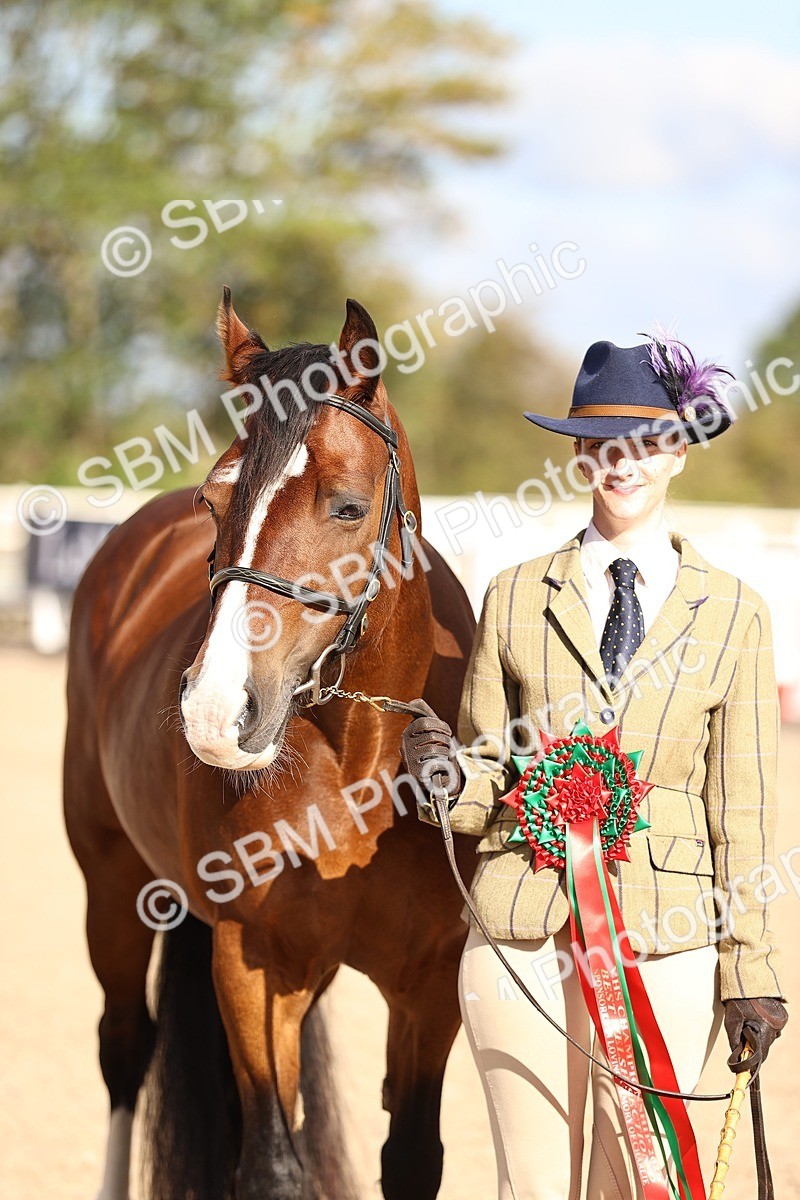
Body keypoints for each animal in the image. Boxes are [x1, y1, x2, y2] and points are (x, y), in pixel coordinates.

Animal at [63, 291, 477, 1200]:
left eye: (348, 505)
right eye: (214, 503)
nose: (216, 710)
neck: (361, 764)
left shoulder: (430, 981)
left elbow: (413, 1158)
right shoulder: (253, 965)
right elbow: (272, 1167)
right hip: (112, 882)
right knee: (123, 1048)